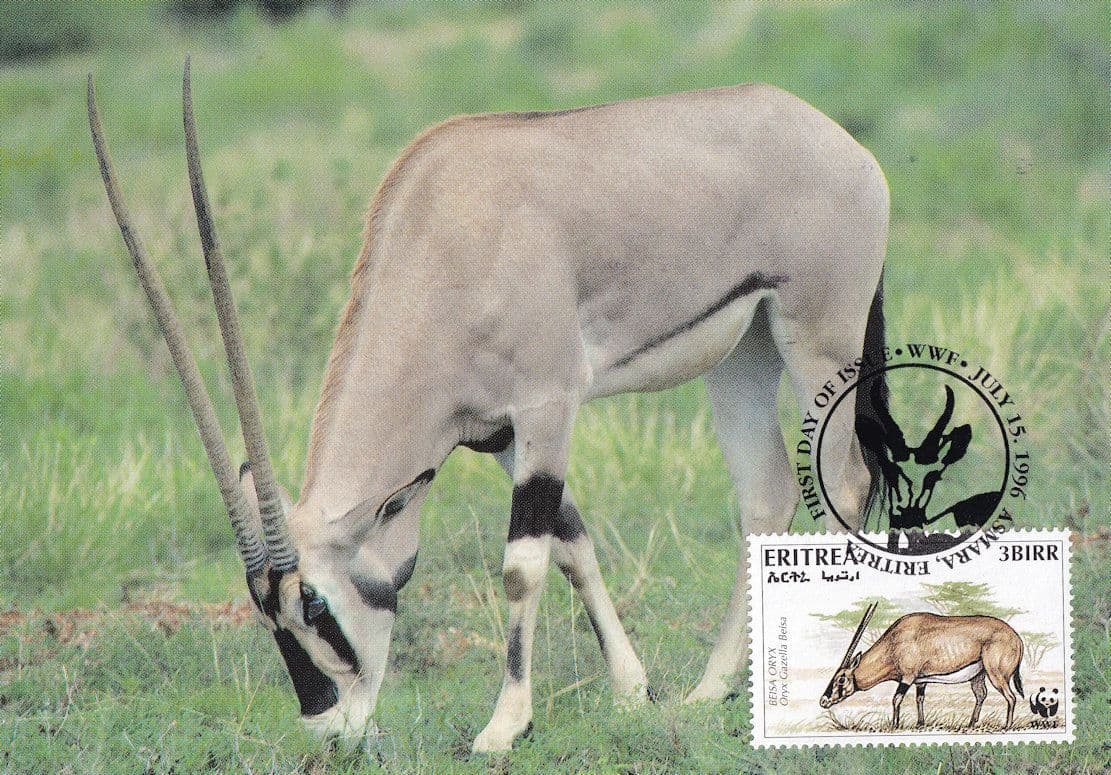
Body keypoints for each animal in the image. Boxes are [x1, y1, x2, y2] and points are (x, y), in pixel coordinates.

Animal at [88, 59, 889, 753]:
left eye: (313, 602)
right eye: (263, 608)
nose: (329, 730)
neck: (444, 241)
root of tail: (842, 145)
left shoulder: (548, 404)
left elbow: (521, 566)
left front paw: (505, 725)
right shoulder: (499, 434)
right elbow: (570, 541)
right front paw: (633, 690)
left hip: (817, 339)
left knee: (845, 483)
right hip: (743, 353)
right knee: (764, 496)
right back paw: (709, 689)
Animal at [820, 602, 1026, 728]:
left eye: (841, 679)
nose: (823, 701)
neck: (894, 642)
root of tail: (1016, 638)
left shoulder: (907, 677)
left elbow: (896, 699)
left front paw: (894, 725)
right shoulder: (921, 680)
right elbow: (919, 699)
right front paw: (920, 723)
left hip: (996, 675)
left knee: (1011, 697)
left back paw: (1007, 726)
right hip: (978, 675)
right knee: (981, 694)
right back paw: (971, 724)